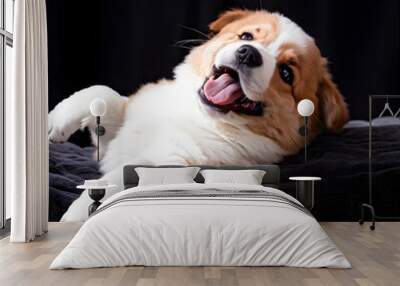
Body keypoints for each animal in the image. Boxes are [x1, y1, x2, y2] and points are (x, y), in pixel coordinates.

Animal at [50, 9, 348, 221]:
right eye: (246, 37)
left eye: (286, 73)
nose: (248, 54)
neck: (199, 115)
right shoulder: (113, 136)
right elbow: (103, 93)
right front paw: (56, 122)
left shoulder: (173, 163)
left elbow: (120, 178)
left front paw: (76, 215)